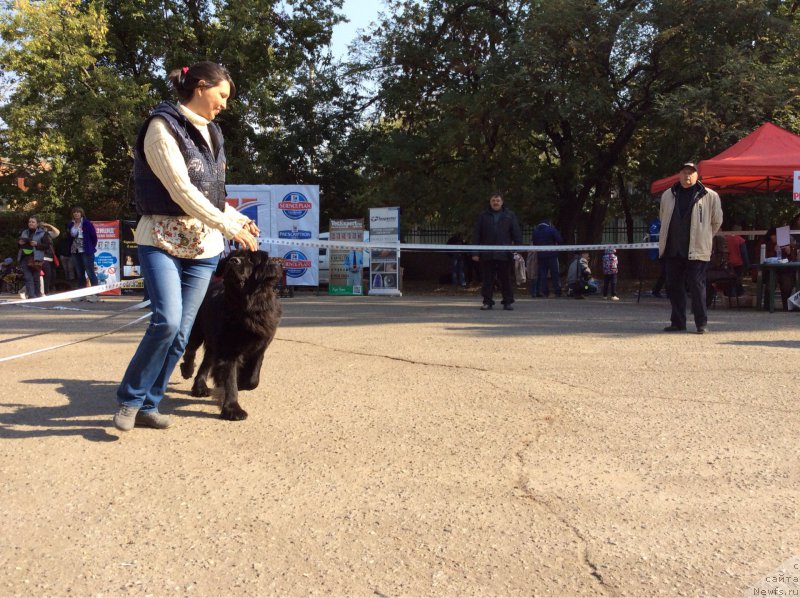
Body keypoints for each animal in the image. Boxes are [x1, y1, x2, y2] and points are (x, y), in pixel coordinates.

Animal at [180, 248, 282, 422]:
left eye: (250, 259)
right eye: (232, 256)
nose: (233, 261)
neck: (247, 307)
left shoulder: (260, 346)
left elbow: (253, 380)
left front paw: (241, 383)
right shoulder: (229, 350)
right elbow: (230, 379)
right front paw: (233, 409)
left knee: (206, 361)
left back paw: (200, 387)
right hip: (198, 329)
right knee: (190, 349)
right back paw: (187, 370)